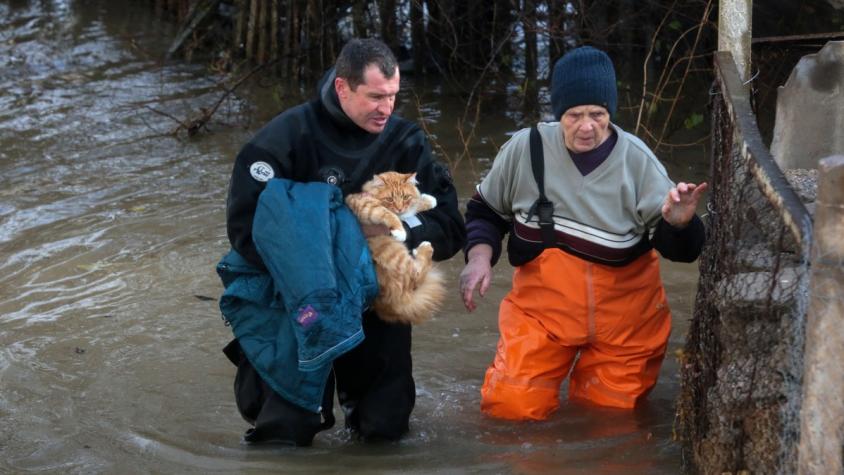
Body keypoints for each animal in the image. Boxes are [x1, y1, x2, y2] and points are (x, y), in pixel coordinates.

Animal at [344, 173, 448, 326]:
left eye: (405, 197)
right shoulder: (366, 204)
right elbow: (388, 214)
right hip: (395, 254)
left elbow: (413, 206)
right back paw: (425, 248)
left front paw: (427, 200)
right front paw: (400, 231)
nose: (399, 209)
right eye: (390, 199)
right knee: (417, 275)